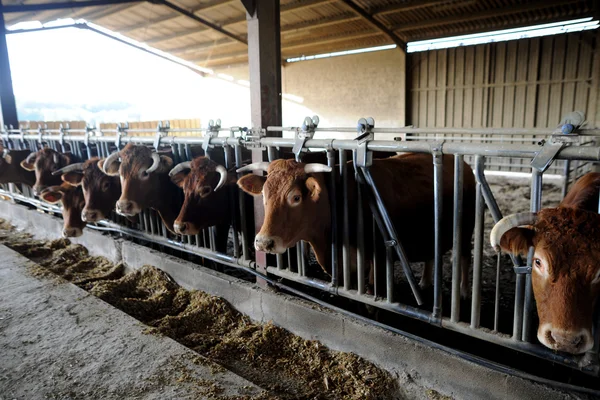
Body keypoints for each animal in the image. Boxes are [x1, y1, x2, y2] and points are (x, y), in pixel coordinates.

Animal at [237, 152, 476, 296]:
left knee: (464, 256)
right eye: (264, 194)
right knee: (431, 255)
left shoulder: (378, 260)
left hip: (465, 229)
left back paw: (464, 291)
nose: (264, 242)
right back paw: (426, 282)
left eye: (295, 197)